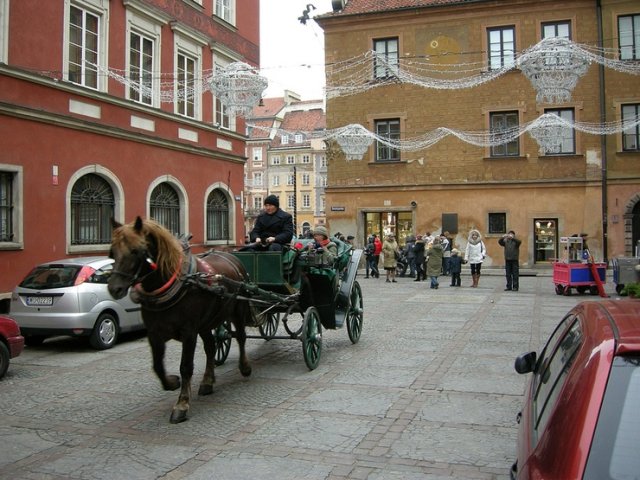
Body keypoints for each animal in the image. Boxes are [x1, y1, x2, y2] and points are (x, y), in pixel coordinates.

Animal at [107, 218, 252, 424]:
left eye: (136, 251)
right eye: (112, 252)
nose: (114, 288)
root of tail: (230, 257)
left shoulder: (189, 332)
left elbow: (185, 367)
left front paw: (181, 405)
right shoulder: (154, 333)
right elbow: (157, 366)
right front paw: (172, 382)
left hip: (237, 310)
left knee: (240, 337)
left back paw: (245, 367)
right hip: (207, 321)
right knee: (211, 347)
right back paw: (207, 381)